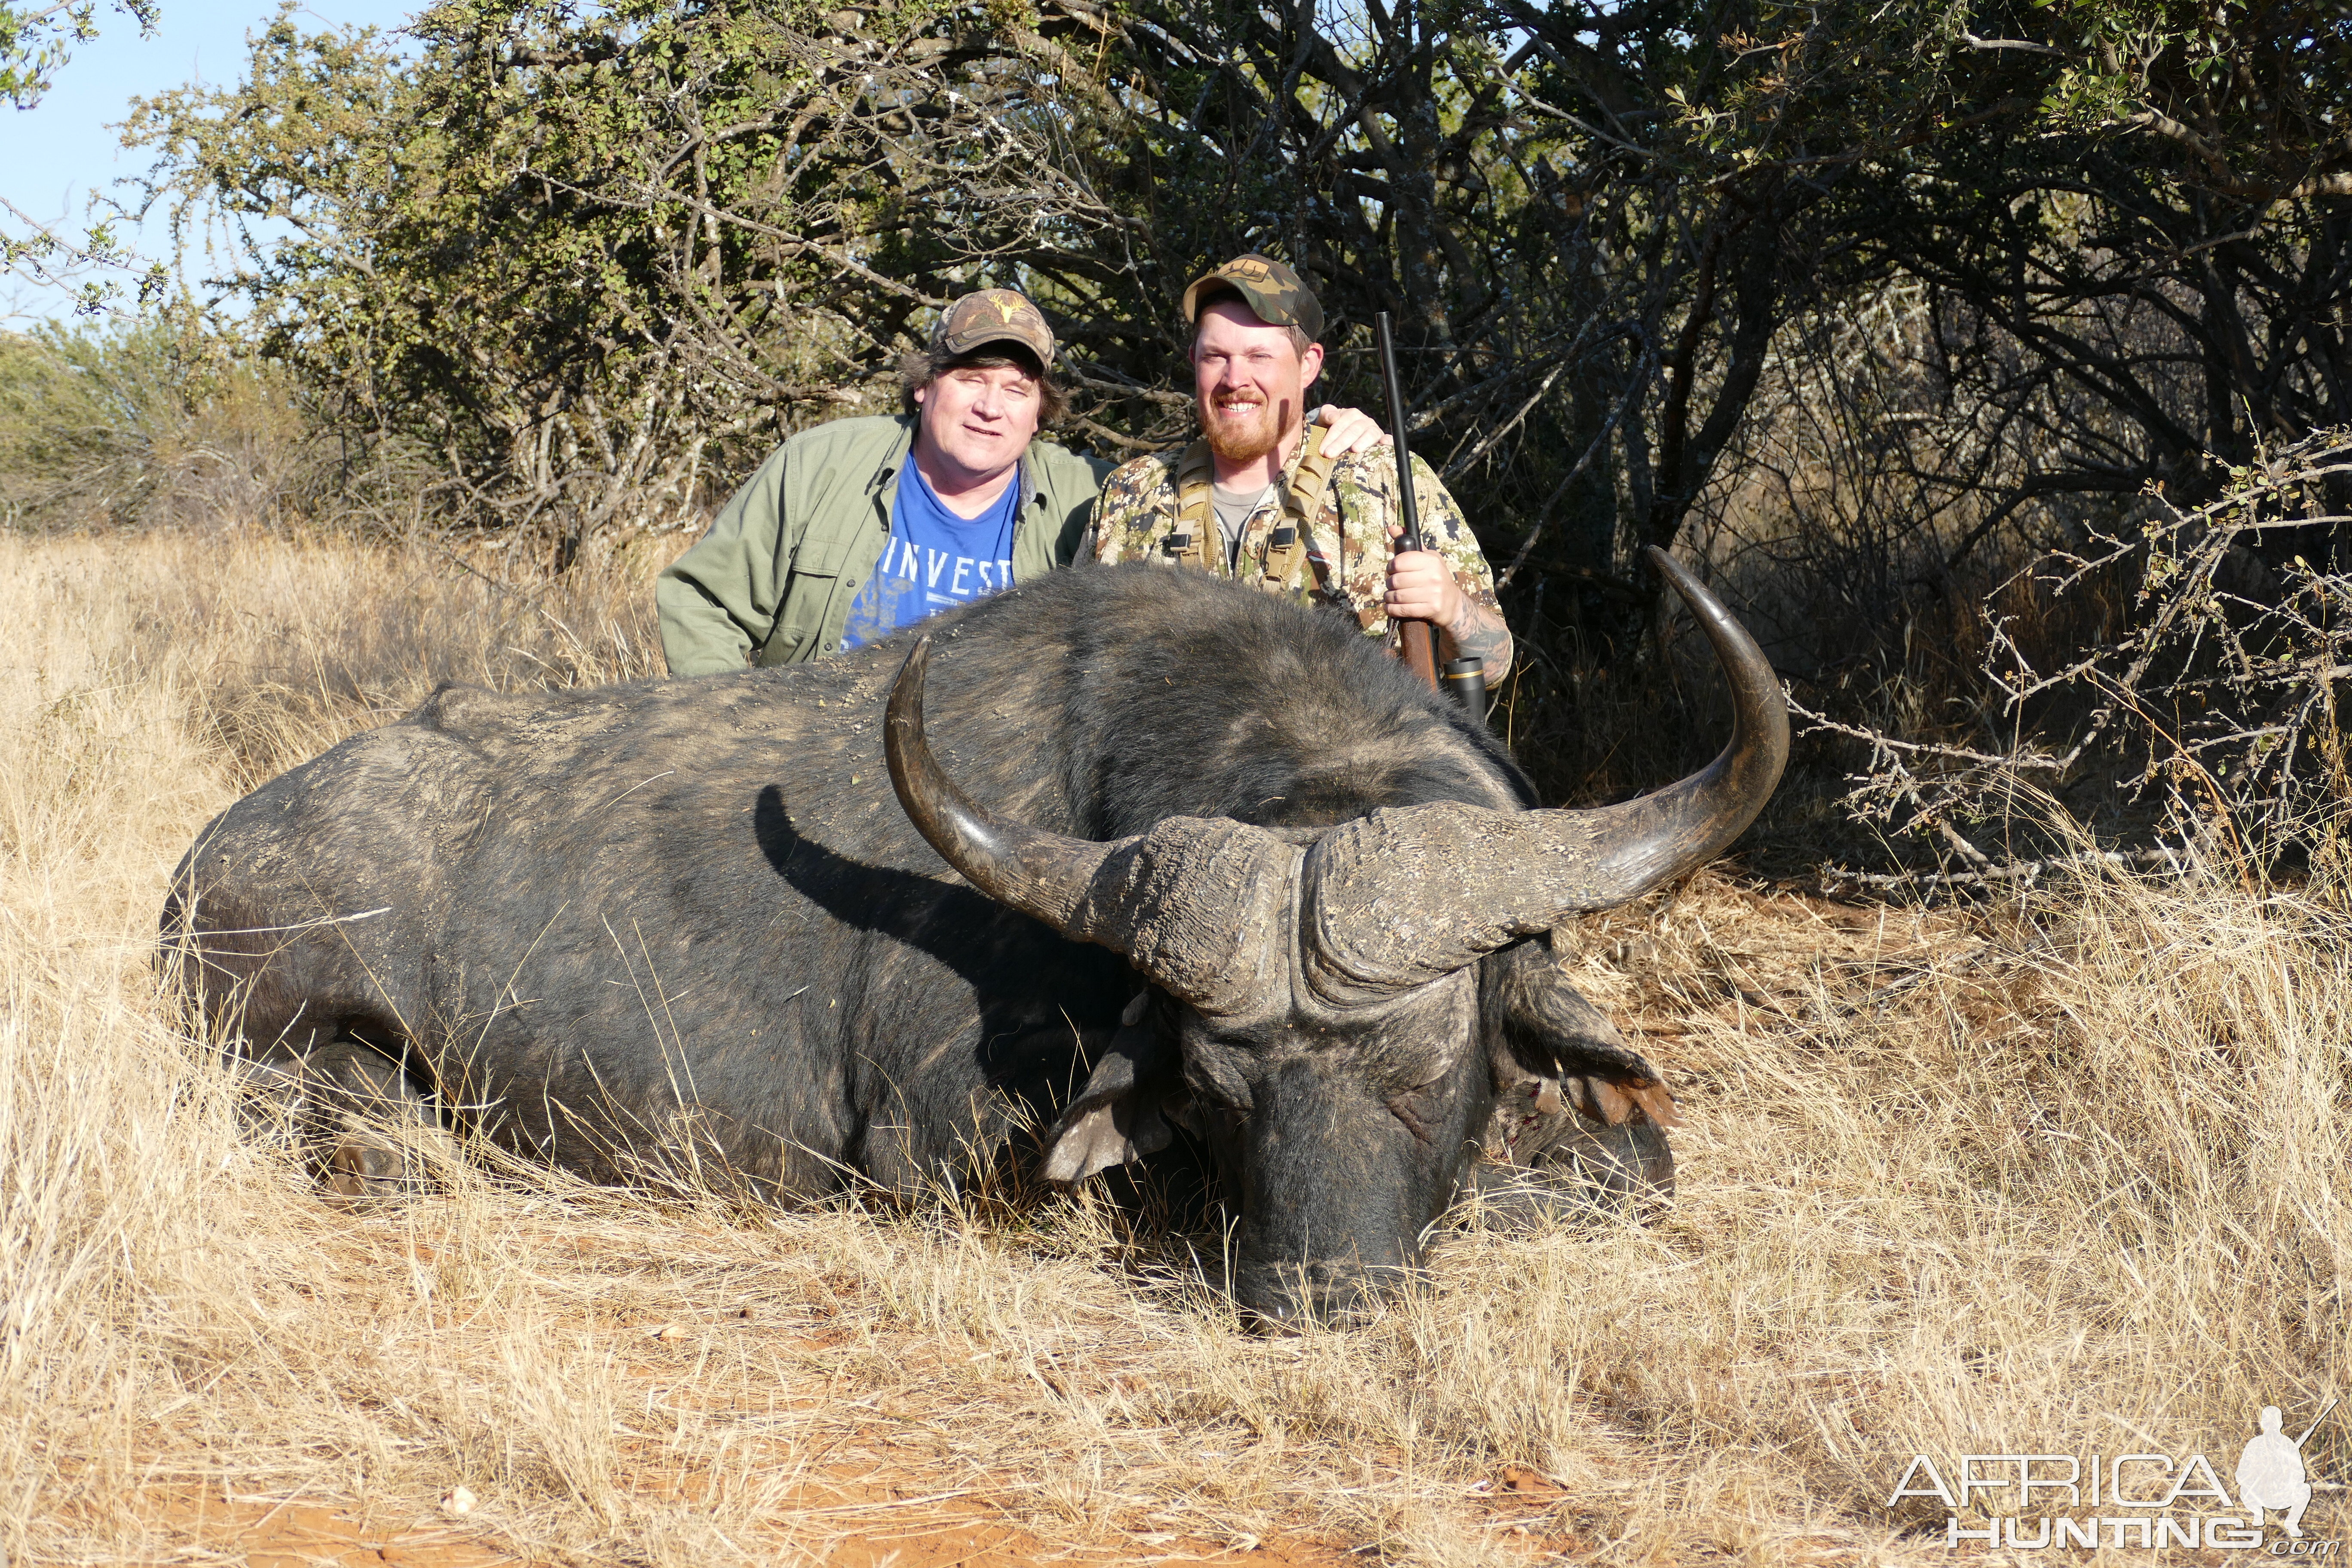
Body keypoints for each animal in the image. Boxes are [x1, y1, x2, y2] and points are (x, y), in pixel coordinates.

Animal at [170, 552, 1778, 1326]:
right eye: (1215, 1088)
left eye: (1436, 1071)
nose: (1316, 1300)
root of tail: (207, 859)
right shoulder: (938, 1159)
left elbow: (1626, 1167)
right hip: (321, 1062)